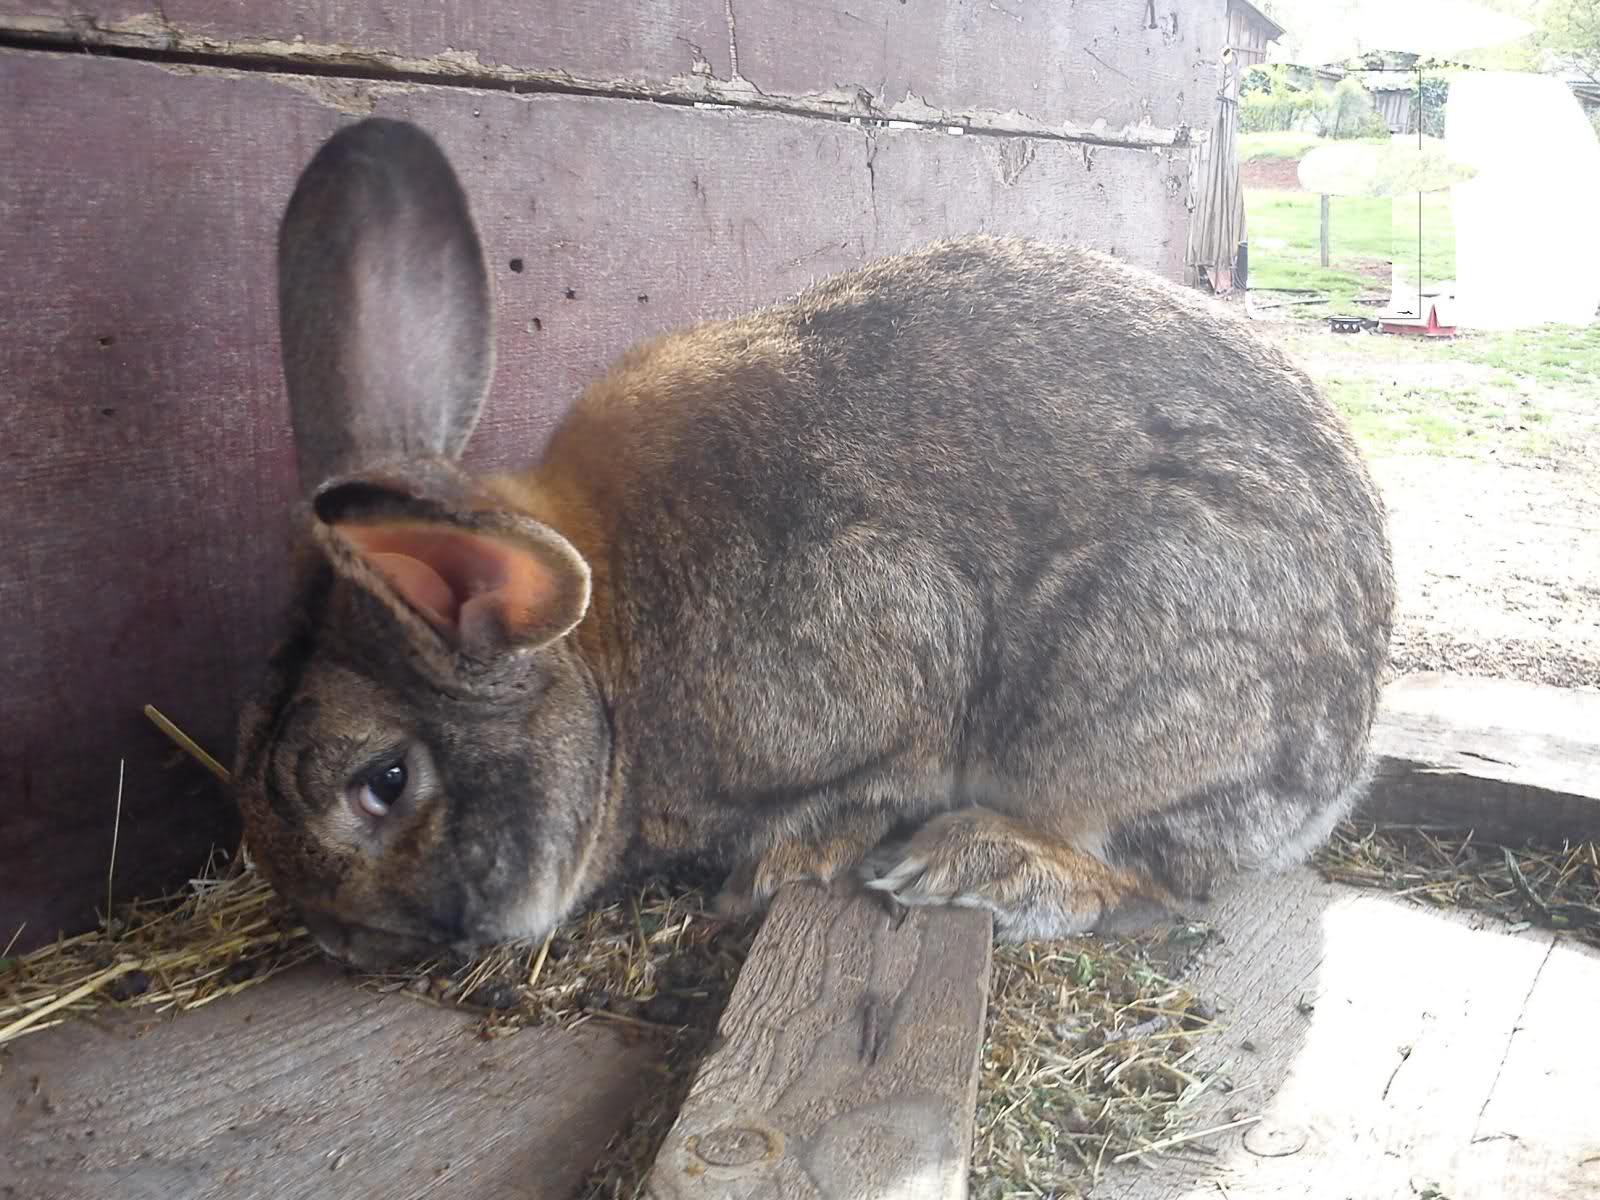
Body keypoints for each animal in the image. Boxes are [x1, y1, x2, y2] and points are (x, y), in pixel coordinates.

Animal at [232, 117, 1395, 972]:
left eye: (381, 782)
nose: (335, 942)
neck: (606, 658)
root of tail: (1345, 753)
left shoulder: (888, 665)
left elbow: (868, 781)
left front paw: (771, 872)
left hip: (1115, 697)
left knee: (1157, 870)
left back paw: (978, 866)